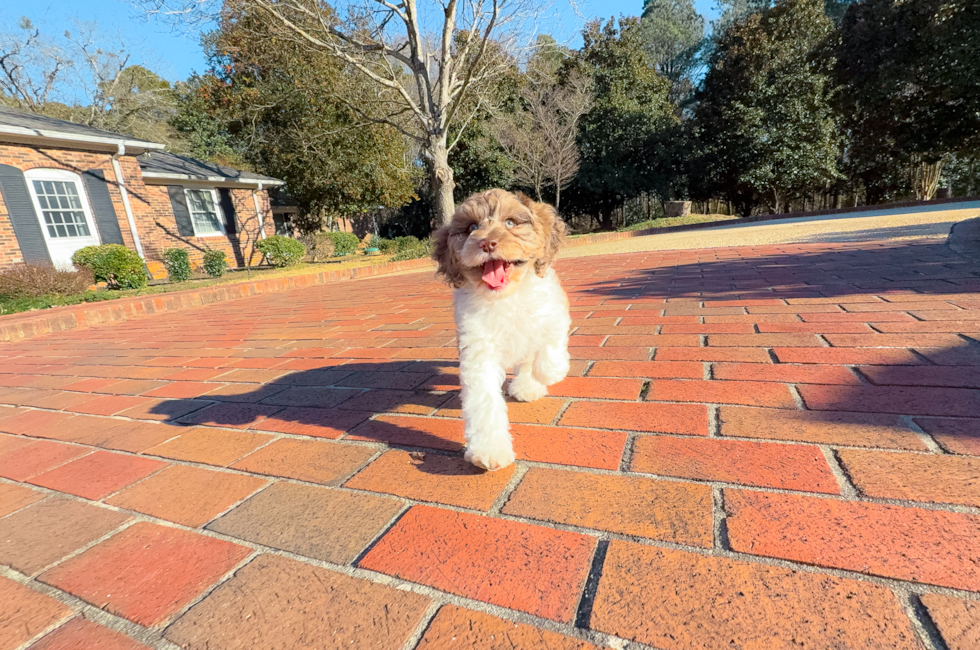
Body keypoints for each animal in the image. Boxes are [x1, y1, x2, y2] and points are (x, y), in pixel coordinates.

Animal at [432, 190, 572, 468]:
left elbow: (551, 345)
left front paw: (549, 374)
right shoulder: (478, 348)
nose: (486, 243)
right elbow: (483, 400)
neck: (507, 297)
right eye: (471, 228)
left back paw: (528, 385)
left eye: (510, 223)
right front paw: (490, 450)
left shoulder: (552, 310)